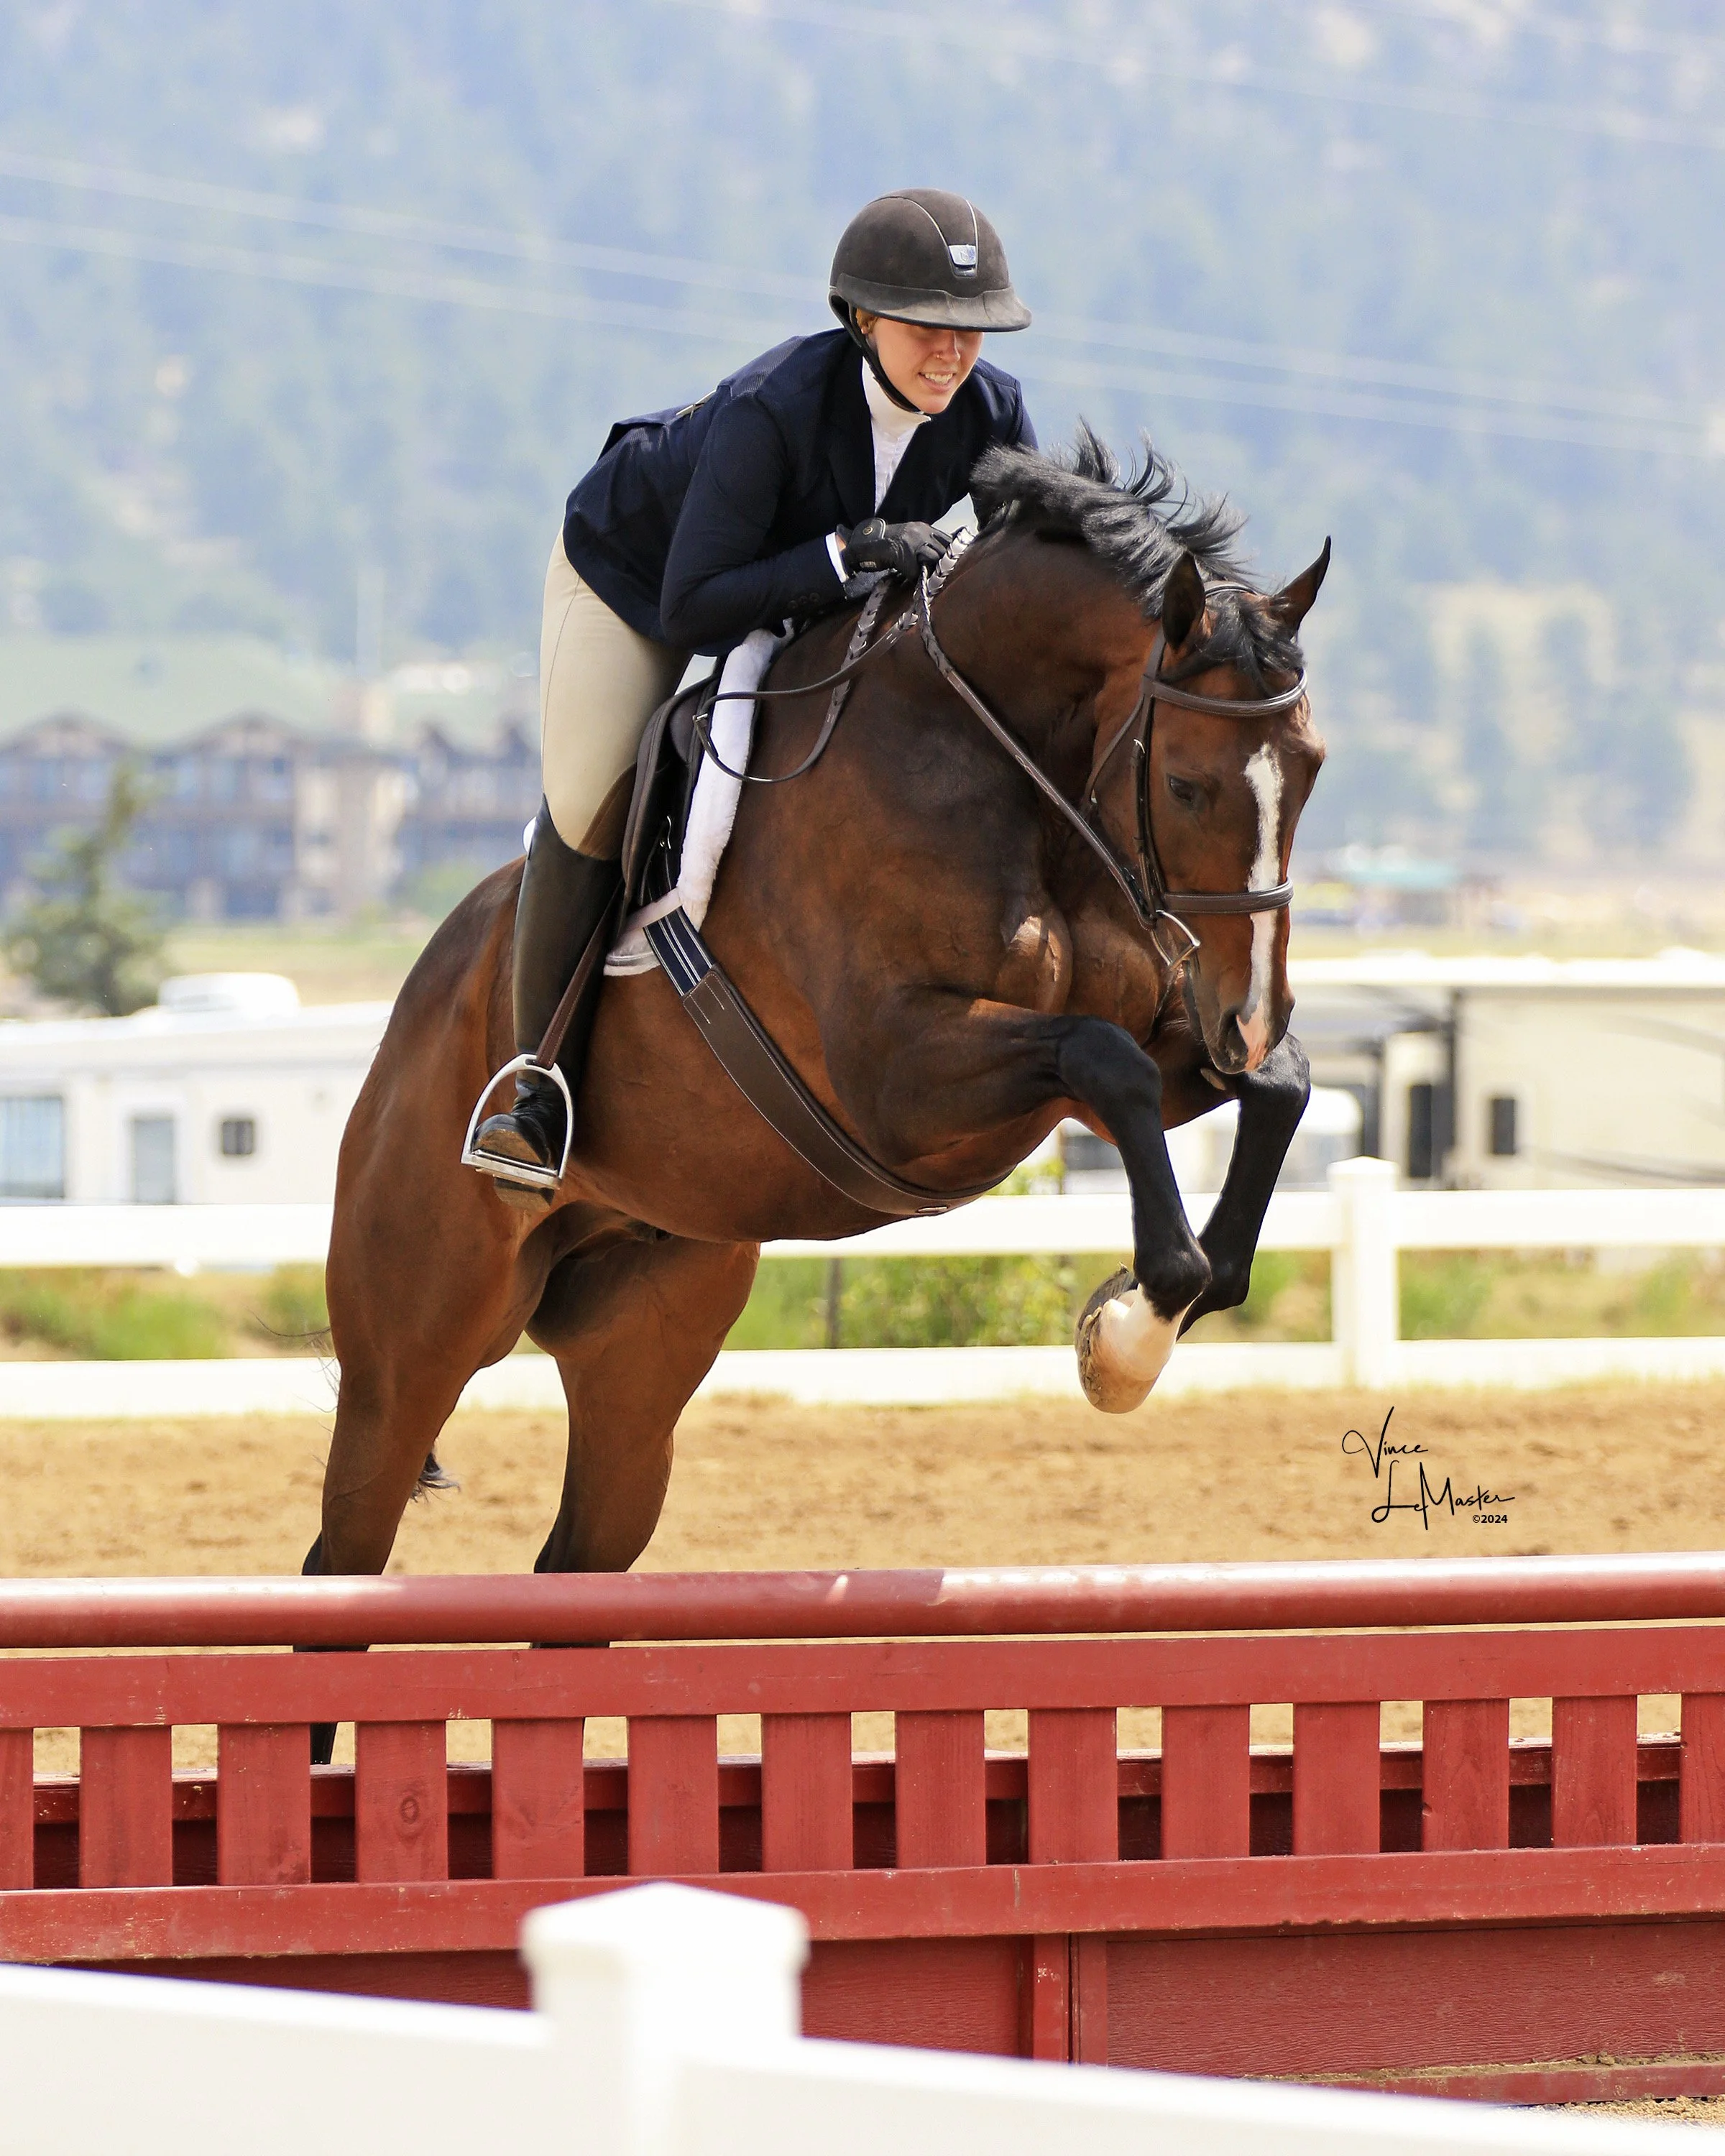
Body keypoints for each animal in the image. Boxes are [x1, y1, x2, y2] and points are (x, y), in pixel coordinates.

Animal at [308, 431, 1327, 1595]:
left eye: (1312, 772)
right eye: (1191, 786)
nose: (1247, 1014)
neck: (1000, 761)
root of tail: (413, 1011)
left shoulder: (1142, 1051)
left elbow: (1270, 1089)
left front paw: (1153, 1304)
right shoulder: (902, 1080)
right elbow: (1101, 1058)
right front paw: (1128, 1336)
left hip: (647, 1327)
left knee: (577, 1557)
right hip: (417, 1337)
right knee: (347, 1542)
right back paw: (523, 1125)